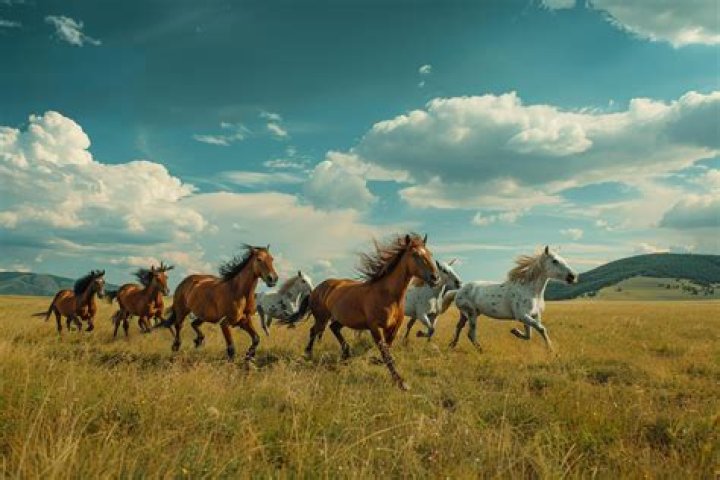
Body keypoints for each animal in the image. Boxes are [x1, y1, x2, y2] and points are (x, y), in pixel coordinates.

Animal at [299, 233, 439, 390]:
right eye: (415, 254)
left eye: (430, 254)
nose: (435, 278)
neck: (388, 295)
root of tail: (317, 288)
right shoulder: (374, 326)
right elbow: (385, 353)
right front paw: (401, 382)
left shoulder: (393, 327)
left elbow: (387, 349)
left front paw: (375, 360)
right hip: (322, 317)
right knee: (314, 331)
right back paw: (308, 354)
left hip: (342, 319)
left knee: (333, 328)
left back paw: (346, 354)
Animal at [444, 246, 577, 351]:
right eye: (555, 261)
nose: (573, 276)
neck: (530, 290)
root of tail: (458, 291)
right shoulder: (522, 316)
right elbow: (541, 329)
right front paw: (551, 349)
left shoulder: (533, 315)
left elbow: (530, 335)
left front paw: (515, 331)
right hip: (471, 314)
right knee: (470, 334)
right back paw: (481, 350)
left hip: (467, 314)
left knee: (459, 327)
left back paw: (452, 345)